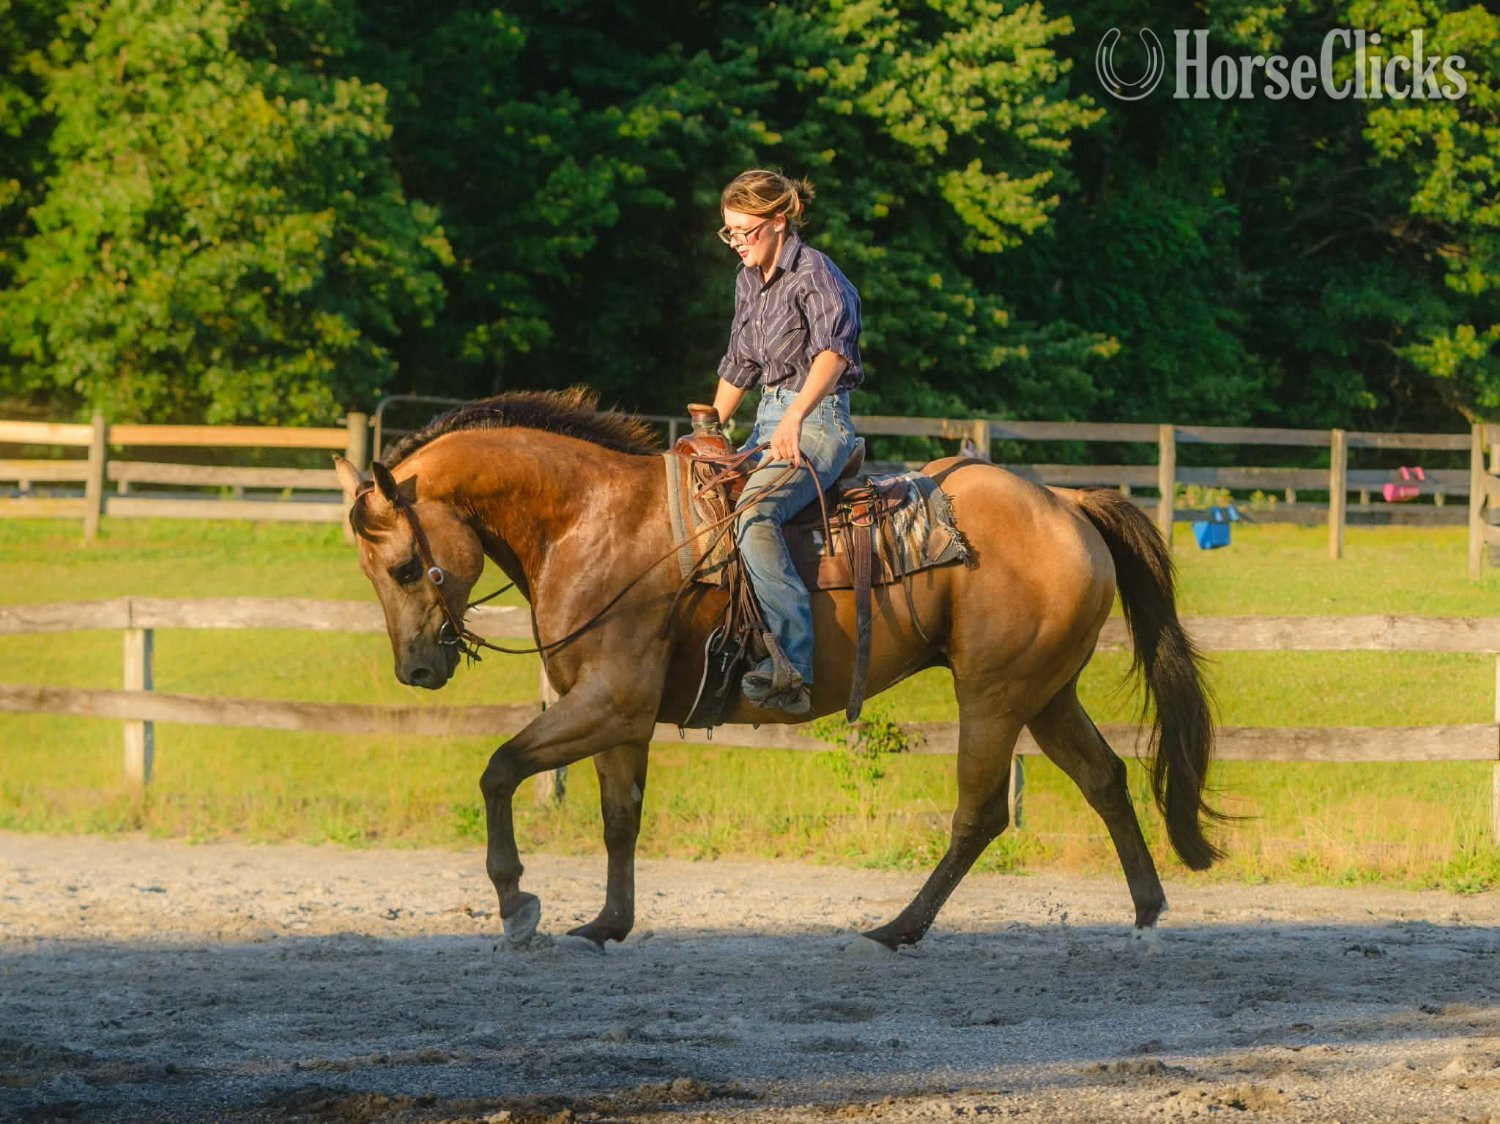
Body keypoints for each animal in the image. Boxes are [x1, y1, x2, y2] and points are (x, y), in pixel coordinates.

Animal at [333, 388, 1220, 951]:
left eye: (406, 567)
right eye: (370, 570)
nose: (417, 671)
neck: (593, 522)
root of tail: (1068, 504)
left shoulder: (609, 702)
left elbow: (500, 768)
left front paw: (518, 903)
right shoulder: (619, 714)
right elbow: (620, 817)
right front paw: (607, 924)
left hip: (995, 696)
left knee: (980, 816)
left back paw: (898, 928)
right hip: (1046, 693)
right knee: (1105, 778)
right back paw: (1148, 910)